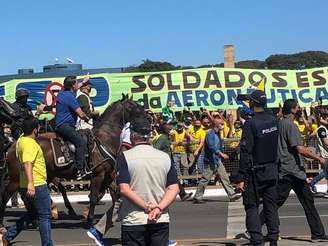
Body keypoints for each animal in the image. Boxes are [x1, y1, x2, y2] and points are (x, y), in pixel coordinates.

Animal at [0, 94, 146, 229]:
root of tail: (13, 145)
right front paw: (89, 219)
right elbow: (94, 197)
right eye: (134, 106)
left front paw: (108, 220)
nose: (148, 118)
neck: (105, 139)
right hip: (16, 178)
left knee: (26, 195)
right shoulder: (98, 175)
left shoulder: (109, 175)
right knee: (7, 194)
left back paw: (34, 219)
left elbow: (113, 194)